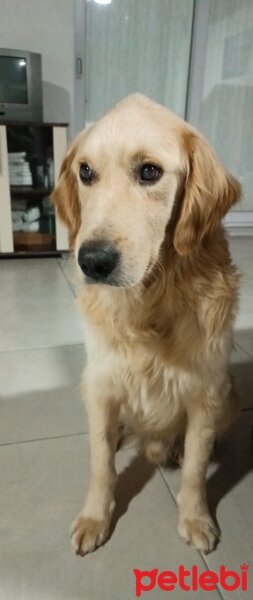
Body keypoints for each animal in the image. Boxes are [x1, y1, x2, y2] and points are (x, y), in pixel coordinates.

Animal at [52, 95, 241, 556]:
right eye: (85, 172)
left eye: (150, 171)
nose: (92, 261)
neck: (149, 300)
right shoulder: (101, 381)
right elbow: (101, 463)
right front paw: (95, 517)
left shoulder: (206, 392)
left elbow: (196, 469)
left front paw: (196, 518)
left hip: (230, 396)